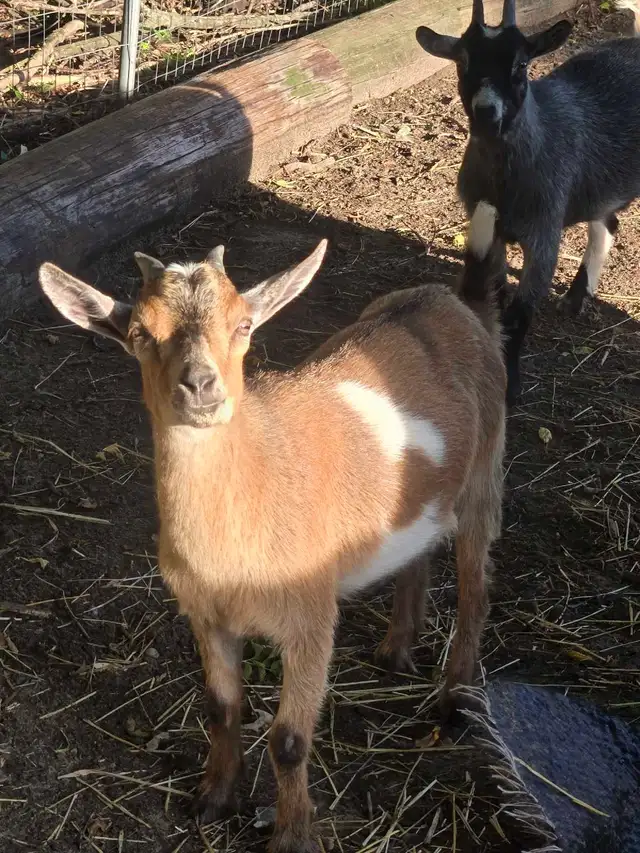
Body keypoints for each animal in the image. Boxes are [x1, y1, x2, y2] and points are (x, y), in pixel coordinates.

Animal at [38, 207, 505, 853]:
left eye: (243, 324)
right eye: (139, 333)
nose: (200, 385)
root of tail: (455, 302)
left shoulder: (310, 617)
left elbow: (288, 740)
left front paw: (292, 835)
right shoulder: (206, 613)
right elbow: (220, 707)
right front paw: (213, 798)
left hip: (486, 468)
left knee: (475, 586)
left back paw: (454, 700)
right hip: (426, 496)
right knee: (418, 552)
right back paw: (395, 652)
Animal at [416, 0, 640, 405]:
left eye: (521, 63)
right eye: (462, 60)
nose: (487, 112)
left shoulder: (544, 234)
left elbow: (520, 313)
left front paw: (511, 383)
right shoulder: (489, 227)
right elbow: (496, 292)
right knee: (608, 220)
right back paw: (577, 296)